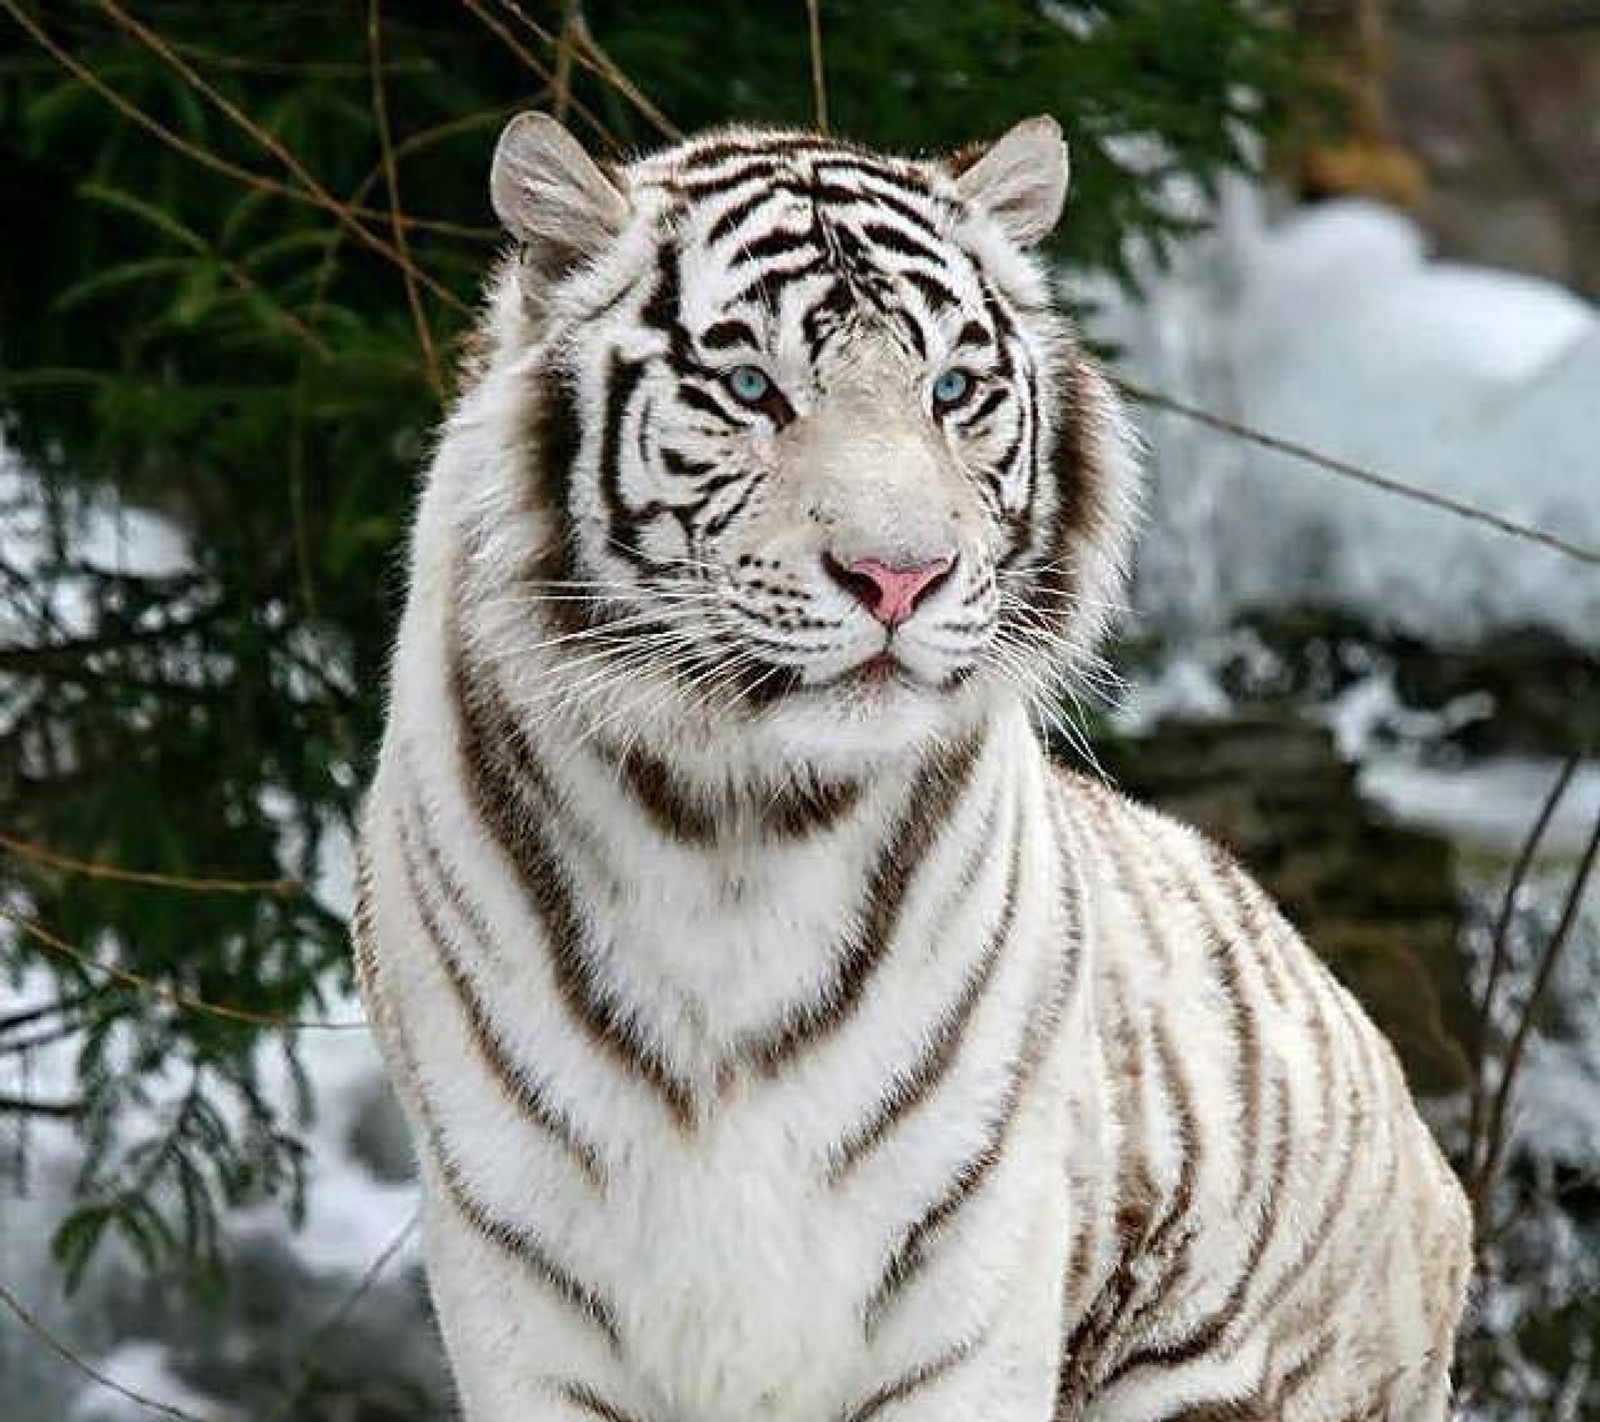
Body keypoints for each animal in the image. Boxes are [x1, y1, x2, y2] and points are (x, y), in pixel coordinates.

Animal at [353, 113, 1472, 1420]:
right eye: (751, 388)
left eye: (952, 391)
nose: (900, 575)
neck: (730, 827)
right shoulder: (516, 1273)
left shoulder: (970, 1257)